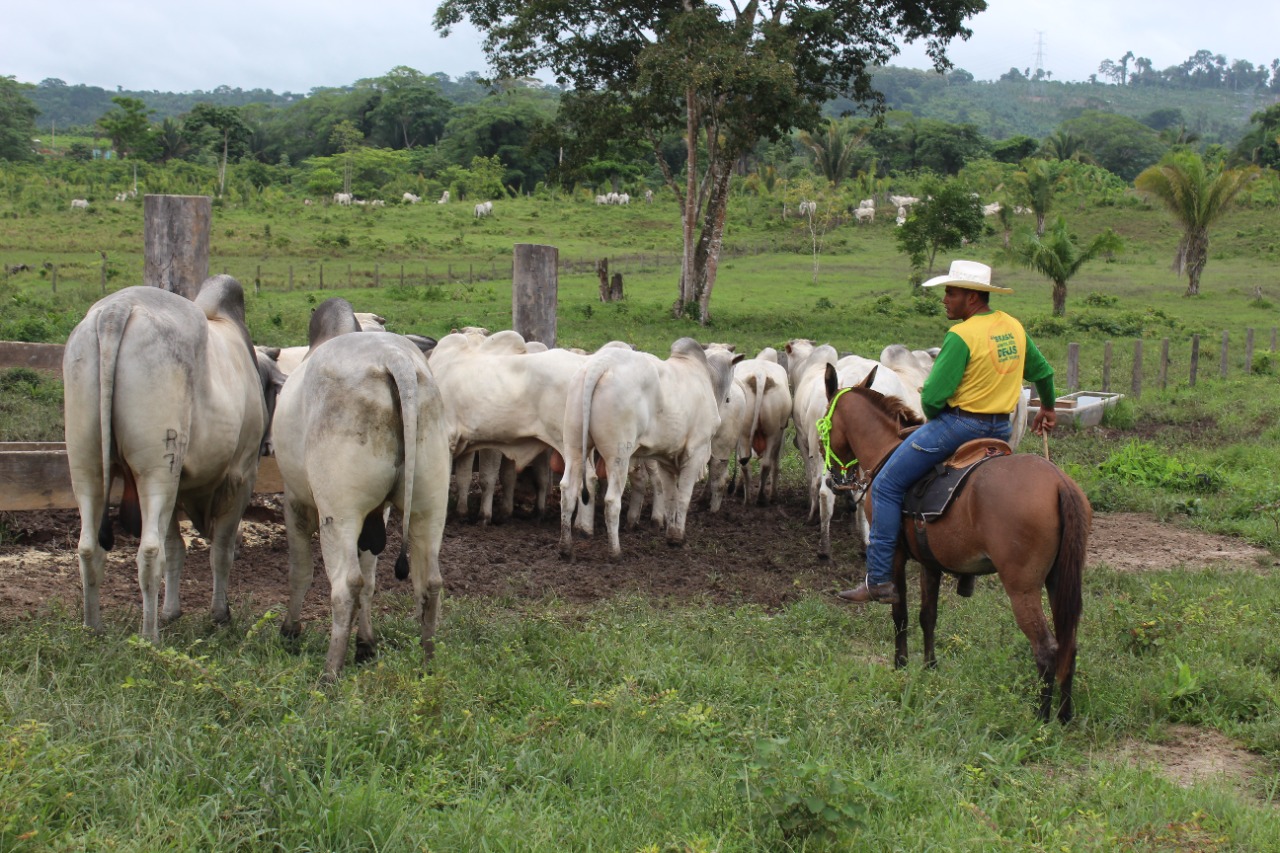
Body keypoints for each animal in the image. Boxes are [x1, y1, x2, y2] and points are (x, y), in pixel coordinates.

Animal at [63, 276, 269, 642]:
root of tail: (116, 310)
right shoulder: (240, 477)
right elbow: (221, 552)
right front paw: (220, 614)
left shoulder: (180, 488)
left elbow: (176, 548)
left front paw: (171, 611)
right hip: (157, 470)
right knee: (149, 552)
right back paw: (149, 637)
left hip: (86, 465)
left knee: (89, 547)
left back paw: (93, 628)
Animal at [272, 329, 451, 679]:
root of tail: (394, 357)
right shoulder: (377, 516)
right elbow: (370, 581)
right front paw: (366, 644)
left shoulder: (295, 502)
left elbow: (300, 571)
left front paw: (290, 630)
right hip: (430, 507)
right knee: (428, 581)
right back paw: (427, 664)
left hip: (339, 513)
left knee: (346, 585)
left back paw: (329, 672)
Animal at [559, 338, 742, 560]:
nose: (730, 398)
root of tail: (600, 364)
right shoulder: (696, 451)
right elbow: (683, 497)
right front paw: (679, 537)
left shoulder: (666, 458)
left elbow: (670, 495)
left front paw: (672, 536)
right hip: (619, 455)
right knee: (612, 501)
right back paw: (615, 552)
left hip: (574, 446)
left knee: (567, 491)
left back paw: (566, 548)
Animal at [820, 364, 1090, 723]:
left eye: (824, 423)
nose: (834, 479)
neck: (886, 448)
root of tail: (1059, 483)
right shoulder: (930, 562)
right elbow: (928, 615)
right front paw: (929, 667)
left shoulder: (895, 555)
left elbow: (899, 612)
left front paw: (900, 665)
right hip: (1059, 578)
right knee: (1069, 644)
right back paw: (1064, 714)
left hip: (1022, 587)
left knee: (1047, 648)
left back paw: (1041, 718)